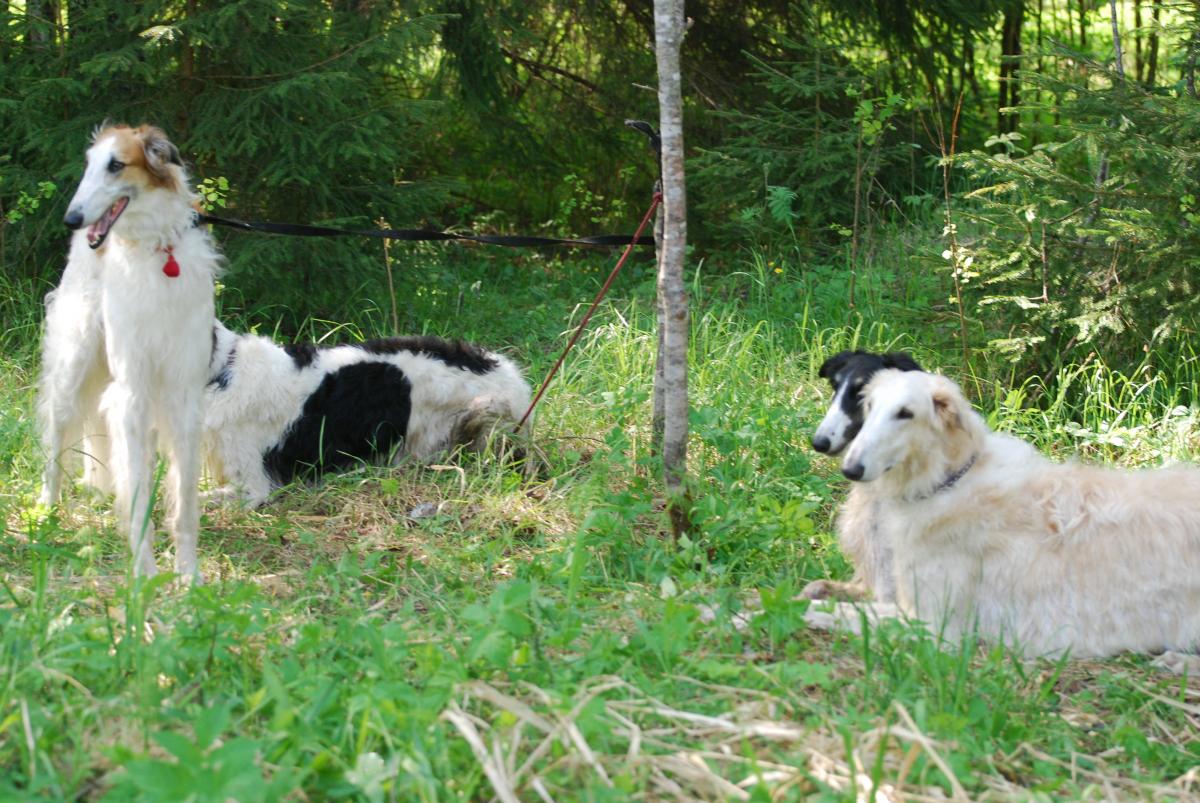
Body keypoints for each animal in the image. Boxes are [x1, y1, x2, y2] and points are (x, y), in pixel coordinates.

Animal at [39, 124, 217, 580]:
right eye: (88, 164)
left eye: (116, 164)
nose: (72, 218)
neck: (156, 252)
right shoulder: (132, 392)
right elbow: (137, 496)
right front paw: (145, 574)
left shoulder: (183, 393)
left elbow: (184, 501)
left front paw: (189, 574)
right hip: (75, 364)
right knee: (56, 440)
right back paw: (45, 512)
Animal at [809, 369, 1200, 663]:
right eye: (869, 405)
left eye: (906, 413)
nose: (850, 469)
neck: (951, 481)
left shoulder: (935, 627)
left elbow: (829, 611)